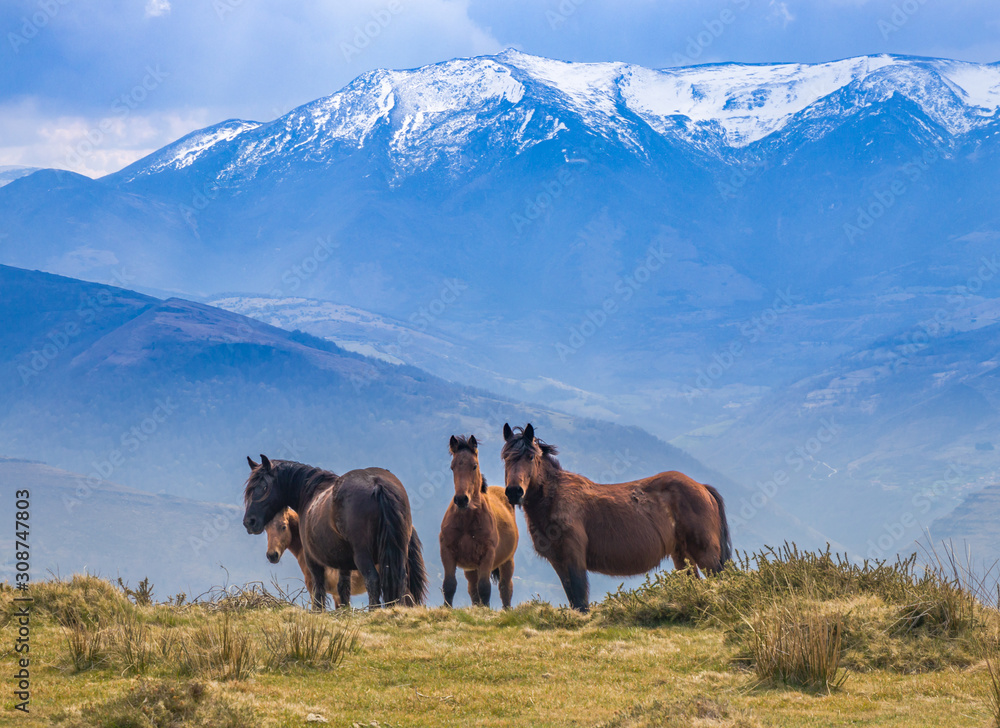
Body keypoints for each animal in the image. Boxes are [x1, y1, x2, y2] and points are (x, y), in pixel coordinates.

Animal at [243, 455, 428, 610]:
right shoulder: (343, 562)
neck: (310, 495)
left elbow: (319, 593)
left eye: (263, 486)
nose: (249, 522)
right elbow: (343, 589)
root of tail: (377, 484)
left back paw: (373, 611)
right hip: (398, 553)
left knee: (373, 580)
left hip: (363, 555)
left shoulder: (313, 561)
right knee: (401, 582)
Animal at [439, 435, 518, 609]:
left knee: (505, 588)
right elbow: (449, 585)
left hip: (507, 561)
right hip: (471, 569)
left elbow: (484, 588)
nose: (461, 499)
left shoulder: (487, 555)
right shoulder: (447, 552)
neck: (466, 522)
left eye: (474, 466)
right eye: (452, 467)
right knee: (473, 590)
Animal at [501, 423, 732, 613]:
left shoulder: (574, 559)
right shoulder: (559, 562)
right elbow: (574, 600)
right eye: (505, 457)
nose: (514, 492)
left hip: (705, 554)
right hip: (682, 556)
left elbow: (581, 602)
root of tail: (702, 487)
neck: (555, 498)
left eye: (530, 457)